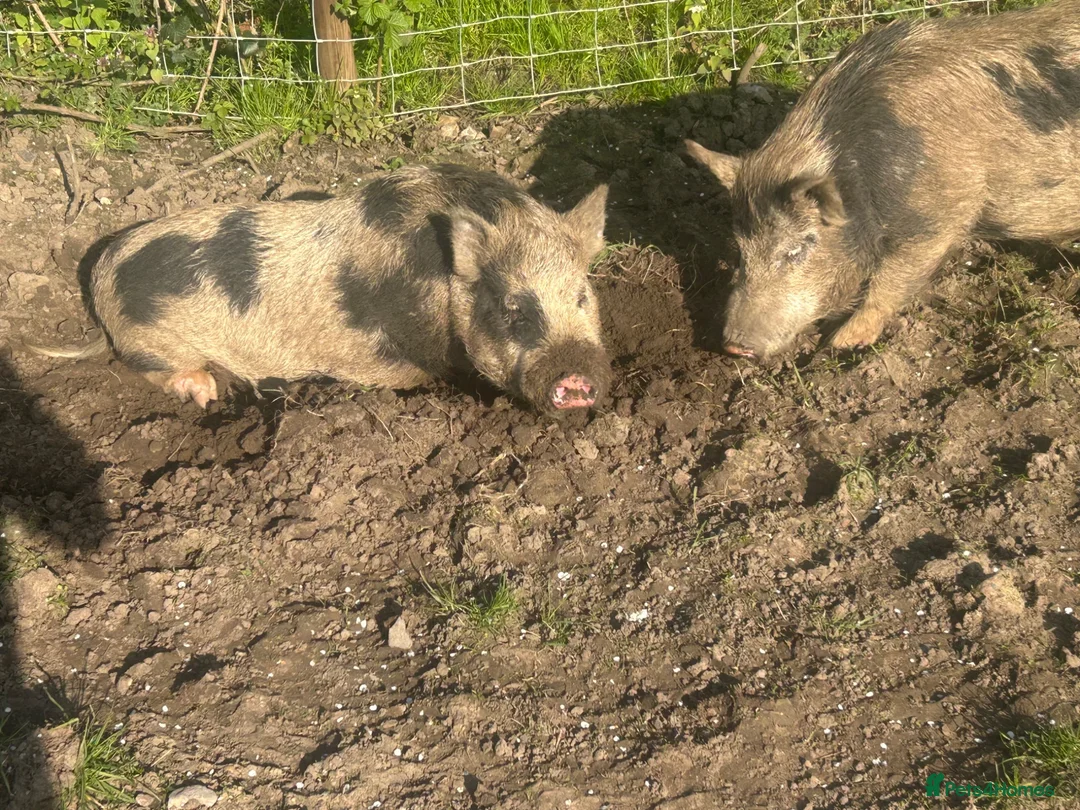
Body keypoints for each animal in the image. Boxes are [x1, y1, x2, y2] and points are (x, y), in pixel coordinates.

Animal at [33, 164, 611, 412]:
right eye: (514, 308)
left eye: (581, 295)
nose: (576, 373)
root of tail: (102, 278)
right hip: (149, 336)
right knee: (152, 367)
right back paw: (211, 392)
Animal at [687, 0, 1080, 359]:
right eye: (741, 251)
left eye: (796, 248)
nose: (734, 347)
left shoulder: (940, 213)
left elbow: (891, 279)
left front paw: (839, 343)